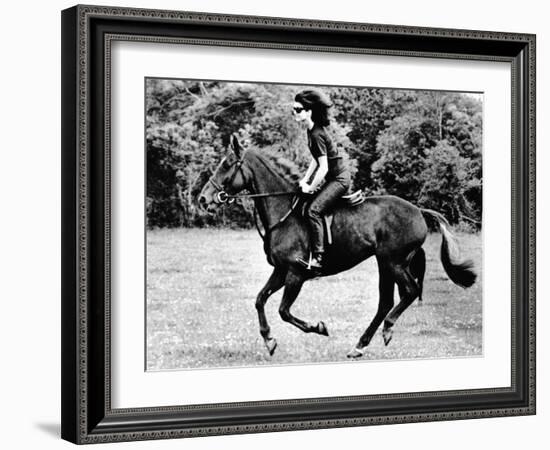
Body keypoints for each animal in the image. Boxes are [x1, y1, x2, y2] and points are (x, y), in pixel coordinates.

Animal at [198, 137, 478, 358]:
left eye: (226, 164)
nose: (202, 198)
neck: (283, 213)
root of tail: (418, 210)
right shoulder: (281, 271)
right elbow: (259, 300)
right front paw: (269, 340)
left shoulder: (296, 274)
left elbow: (284, 311)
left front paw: (318, 328)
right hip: (385, 263)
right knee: (386, 301)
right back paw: (360, 345)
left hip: (393, 262)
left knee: (409, 291)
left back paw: (386, 329)